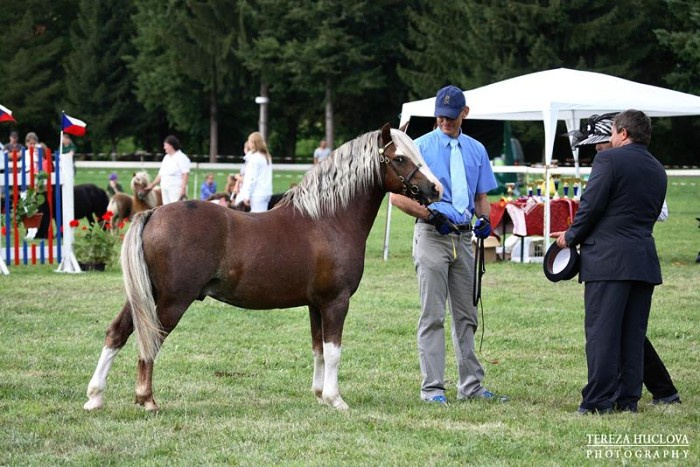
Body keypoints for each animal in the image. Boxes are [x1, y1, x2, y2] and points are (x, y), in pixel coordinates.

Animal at [83, 125, 442, 412]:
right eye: (400, 158)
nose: (436, 189)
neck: (327, 219)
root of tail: (153, 214)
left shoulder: (316, 305)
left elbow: (318, 349)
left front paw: (319, 395)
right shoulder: (335, 302)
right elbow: (333, 351)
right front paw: (336, 399)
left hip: (145, 297)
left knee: (117, 332)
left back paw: (96, 396)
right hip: (172, 301)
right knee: (149, 340)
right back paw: (146, 399)